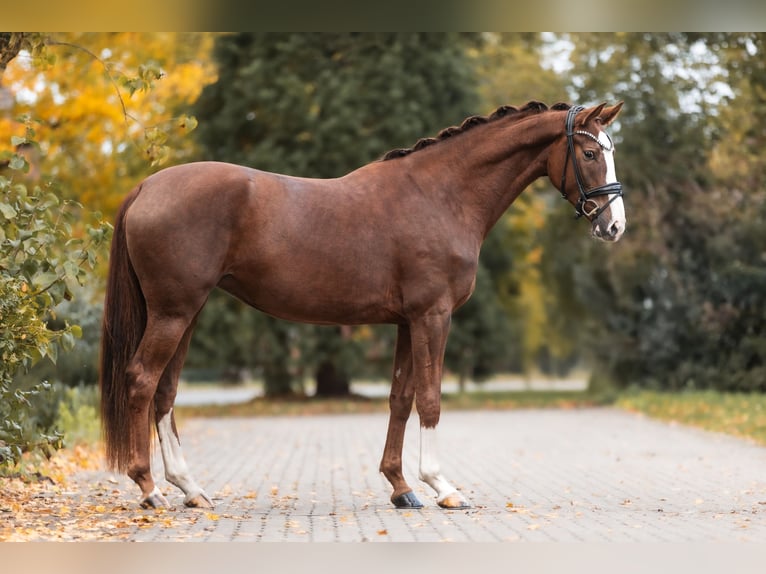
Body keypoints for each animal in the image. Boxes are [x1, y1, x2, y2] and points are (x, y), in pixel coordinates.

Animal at [99, 100, 625, 510]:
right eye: (590, 152)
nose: (614, 226)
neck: (440, 195)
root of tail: (147, 187)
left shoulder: (407, 322)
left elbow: (400, 398)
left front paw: (401, 487)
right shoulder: (433, 316)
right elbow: (430, 399)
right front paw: (442, 486)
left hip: (185, 313)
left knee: (165, 392)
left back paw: (190, 489)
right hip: (173, 313)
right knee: (142, 380)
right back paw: (149, 489)